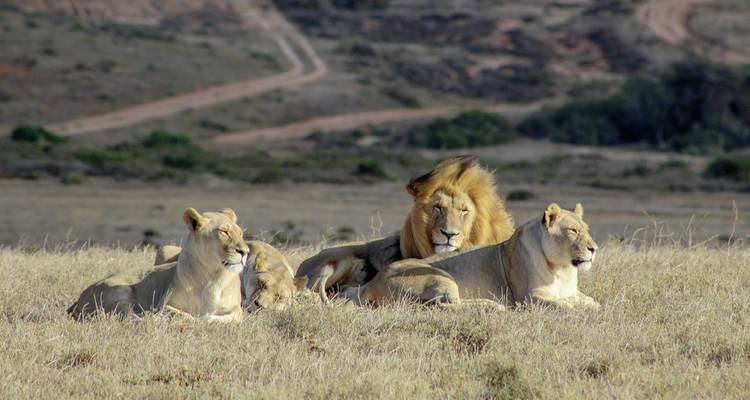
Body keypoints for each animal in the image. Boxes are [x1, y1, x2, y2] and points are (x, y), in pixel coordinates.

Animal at [67, 208, 249, 321]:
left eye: (240, 233)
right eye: (224, 232)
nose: (245, 252)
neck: (211, 276)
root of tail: (79, 299)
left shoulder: (236, 310)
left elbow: (222, 318)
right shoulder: (164, 304)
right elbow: (180, 314)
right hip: (119, 291)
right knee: (127, 316)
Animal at [342, 203, 600, 310]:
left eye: (587, 229)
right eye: (573, 231)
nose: (594, 248)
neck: (562, 269)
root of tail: (371, 283)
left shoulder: (572, 291)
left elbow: (593, 303)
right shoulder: (529, 298)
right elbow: (567, 307)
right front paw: (573, 308)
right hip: (439, 276)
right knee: (441, 305)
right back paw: (494, 307)